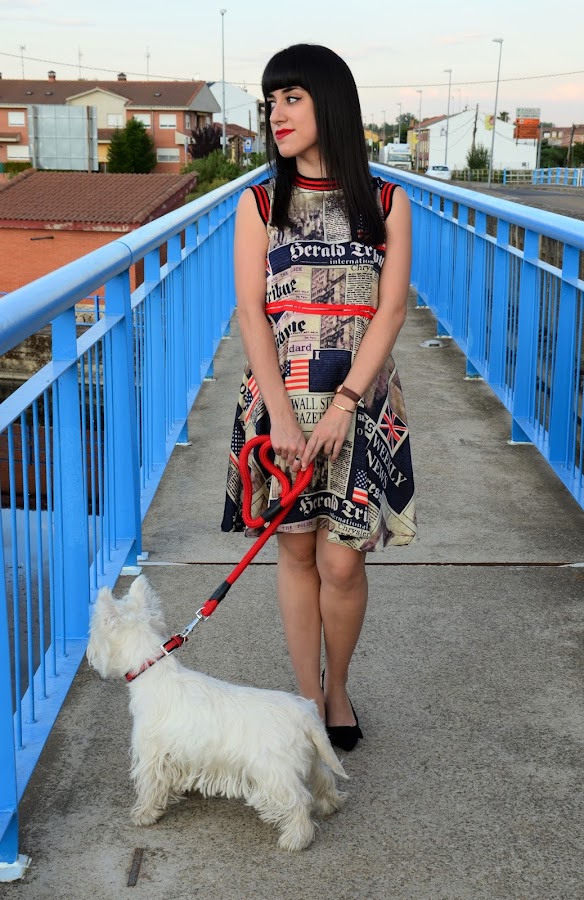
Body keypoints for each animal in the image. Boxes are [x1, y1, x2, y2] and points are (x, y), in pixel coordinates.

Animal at [86, 575, 347, 851]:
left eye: (94, 633)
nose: (89, 654)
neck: (152, 670)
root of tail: (306, 713)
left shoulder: (151, 754)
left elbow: (150, 786)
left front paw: (144, 814)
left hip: (275, 772)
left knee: (298, 800)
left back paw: (295, 839)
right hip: (311, 758)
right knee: (324, 778)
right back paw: (330, 804)